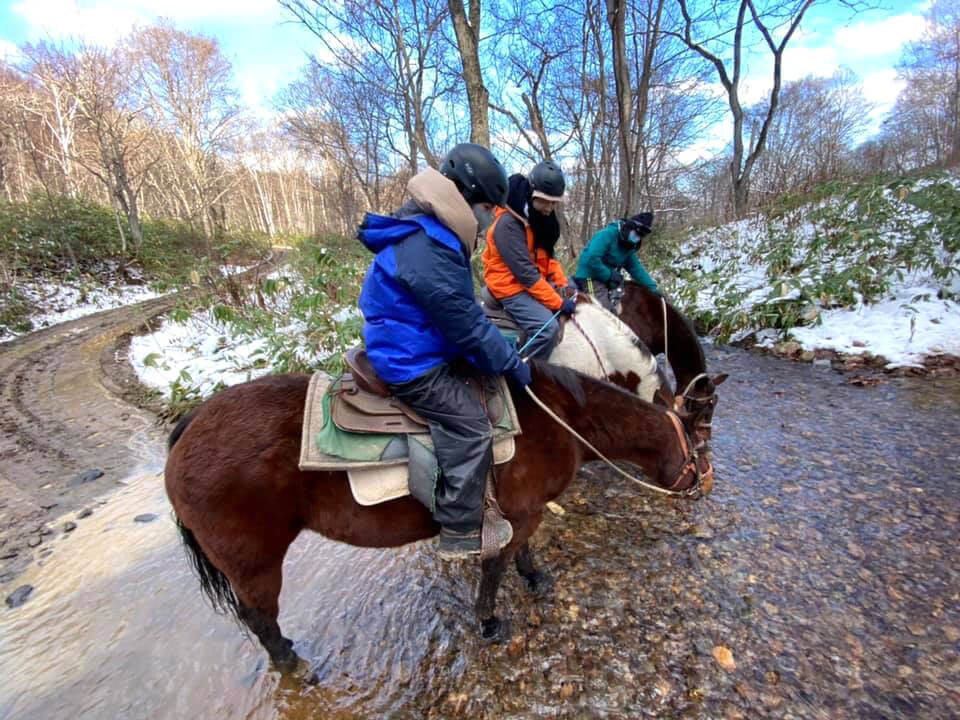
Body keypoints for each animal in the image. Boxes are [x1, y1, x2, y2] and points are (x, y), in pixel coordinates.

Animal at [164, 360, 713, 675]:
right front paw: (489, 622)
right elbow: (495, 567)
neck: (559, 418)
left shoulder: (526, 514)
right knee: (259, 617)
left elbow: (523, 554)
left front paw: (535, 578)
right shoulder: (516, 515)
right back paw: (291, 663)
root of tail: (190, 424)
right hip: (255, 562)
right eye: (699, 441)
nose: (706, 483)